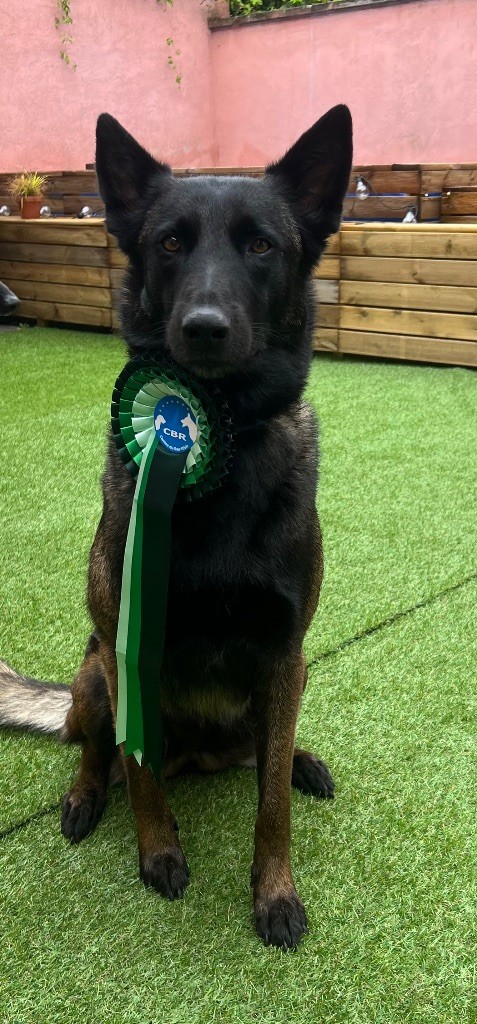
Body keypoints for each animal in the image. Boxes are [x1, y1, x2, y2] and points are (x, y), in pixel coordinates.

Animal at [0, 105, 352, 950]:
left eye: (260, 245)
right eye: (168, 243)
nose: (203, 328)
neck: (217, 450)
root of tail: (206, 756)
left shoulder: (283, 653)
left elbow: (271, 808)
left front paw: (274, 892)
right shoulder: (128, 648)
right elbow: (140, 775)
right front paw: (157, 851)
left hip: (291, 679)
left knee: (267, 754)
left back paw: (298, 759)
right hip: (95, 671)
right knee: (93, 750)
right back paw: (84, 799)